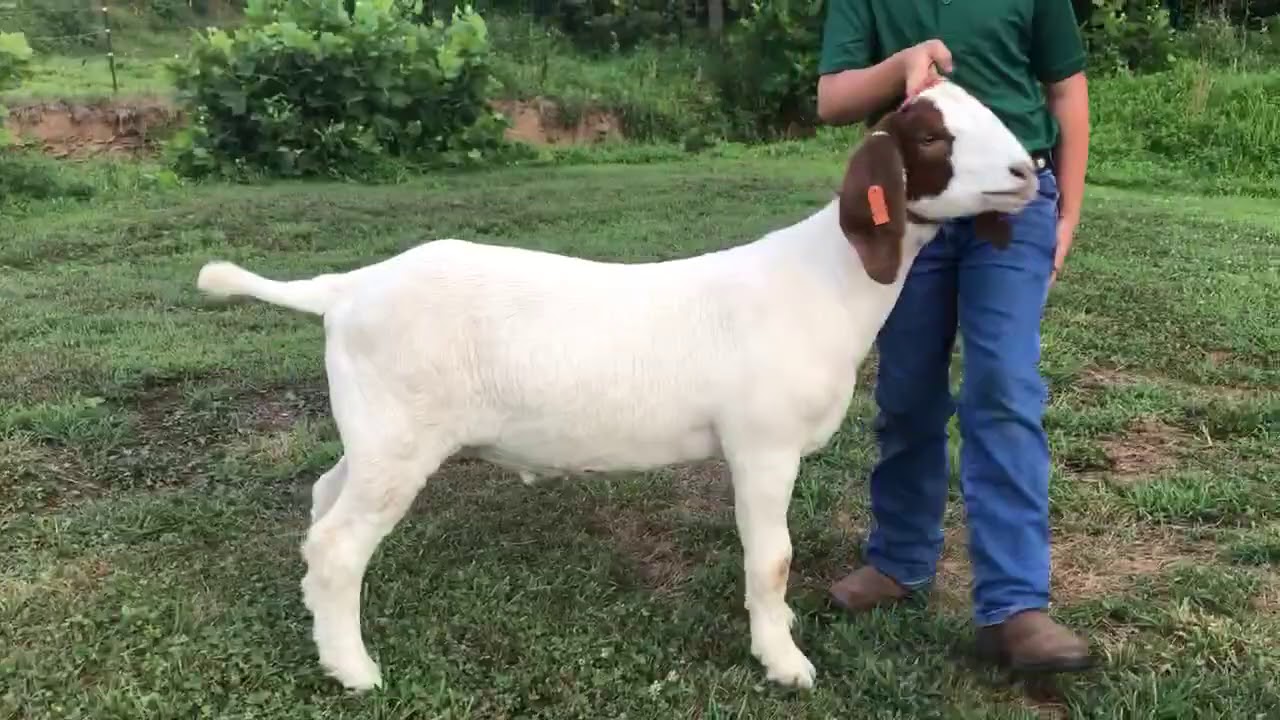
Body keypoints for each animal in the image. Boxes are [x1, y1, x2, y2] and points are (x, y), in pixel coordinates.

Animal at [195, 79, 1040, 692]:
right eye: (930, 135)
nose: (1028, 173)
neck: (823, 279)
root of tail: (346, 290)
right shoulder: (761, 445)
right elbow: (770, 559)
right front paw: (785, 663)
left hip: (375, 429)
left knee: (323, 503)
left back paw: (321, 630)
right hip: (399, 437)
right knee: (339, 544)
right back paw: (355, 670)